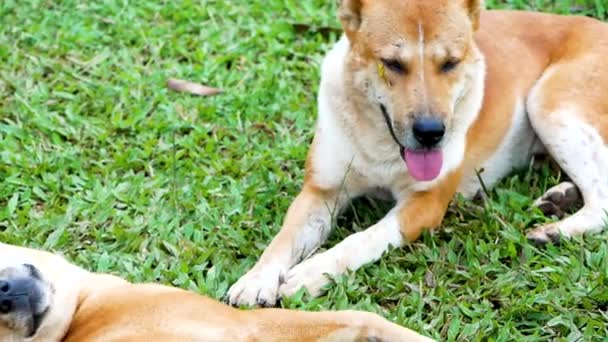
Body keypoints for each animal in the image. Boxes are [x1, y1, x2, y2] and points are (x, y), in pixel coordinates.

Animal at [227, 0, 608, 308]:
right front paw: (256, 278)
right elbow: (283, 238)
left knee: (602, 201)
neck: (380, 141)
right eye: (392, 64)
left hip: (548, 103)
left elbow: (362, 239)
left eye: (451, 63)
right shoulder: (320, 192)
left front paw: (315, 271)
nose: (430, 133)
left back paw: (557, 230)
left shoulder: (426, 205)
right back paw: (561, 196)